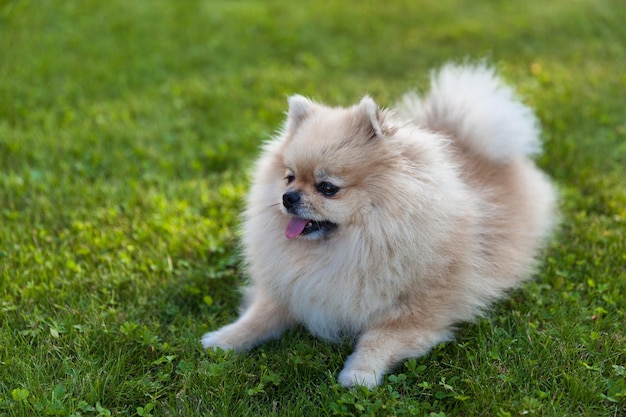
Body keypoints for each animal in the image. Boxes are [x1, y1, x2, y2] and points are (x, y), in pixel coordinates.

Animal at [201, 61, 556, 386]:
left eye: (327, 187)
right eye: (289, 177)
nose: (288, 197)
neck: (356, 245)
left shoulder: (415, 316)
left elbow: (378, 339)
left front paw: (359, 373)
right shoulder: (291, 289)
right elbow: (258, 317)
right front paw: (223, 339)